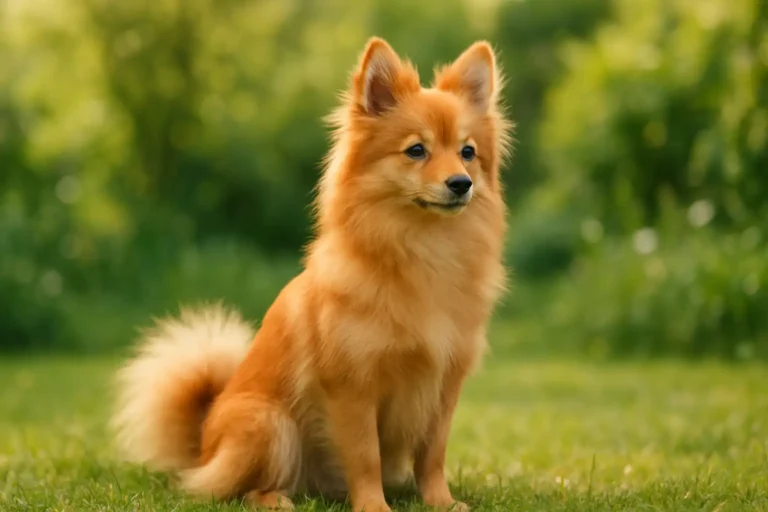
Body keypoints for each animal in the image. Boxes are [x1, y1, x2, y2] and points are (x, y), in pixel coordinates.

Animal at [112, 37, 512, 512]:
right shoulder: (353, 388)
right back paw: (275, 499)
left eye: (468, 153)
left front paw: (441, 502)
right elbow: (365, 456)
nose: (461, 183)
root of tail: (203, 442)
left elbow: (432, 454)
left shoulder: (444, 385)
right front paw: (374, 506)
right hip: (270, 423)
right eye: (416, 150)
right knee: (232, 489)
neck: (425, 249)